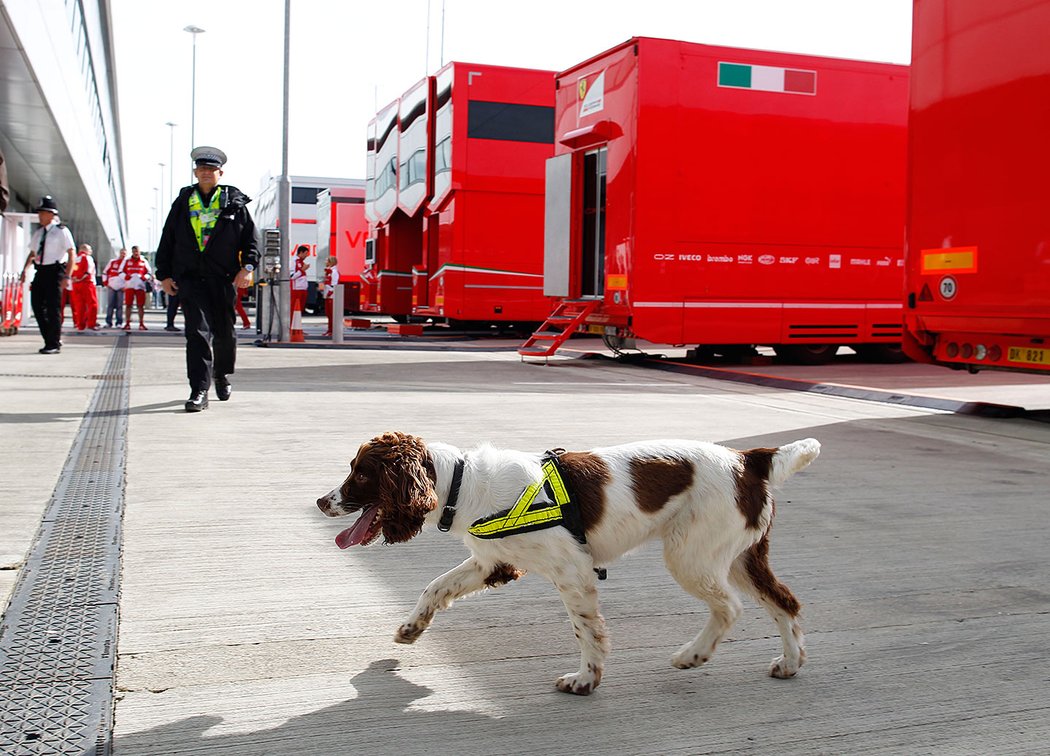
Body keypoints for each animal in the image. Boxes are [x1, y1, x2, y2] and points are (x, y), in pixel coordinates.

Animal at [312, 430, 818, 697]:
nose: (321, 502)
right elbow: (435, 586)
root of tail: (749, 458)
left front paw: (585, 679)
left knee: (730, 607)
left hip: (691, 555)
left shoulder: (572, 573)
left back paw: (693, 655)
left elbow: (585, 630)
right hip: (739, 556)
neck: (463, 483)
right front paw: (410, 629)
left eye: (361, 473)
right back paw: (790, 664)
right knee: (785, 603)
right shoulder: (493, 562)